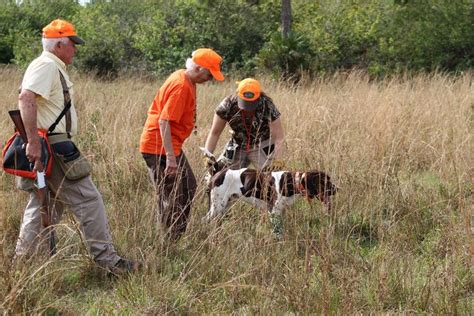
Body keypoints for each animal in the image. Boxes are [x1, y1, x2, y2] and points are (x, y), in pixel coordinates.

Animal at [200, 148, 336, 222]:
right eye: (325, 181)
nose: (336, 189)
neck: (292, 182)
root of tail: (217, 171)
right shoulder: (274, 211)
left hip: (226, 204)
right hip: (217, 206)